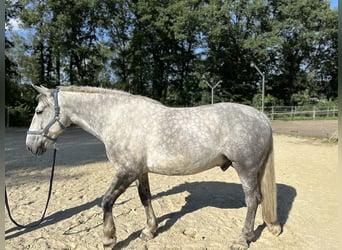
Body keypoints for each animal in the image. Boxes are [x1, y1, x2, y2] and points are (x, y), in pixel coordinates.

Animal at [26, 85, 280, 249]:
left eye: (38, 111)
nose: (30, 146)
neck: (117, 118)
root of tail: (260, 117)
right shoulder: (140, 172)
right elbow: (145, 198)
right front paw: (149, 231)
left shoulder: (126, 171)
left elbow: (106, 201)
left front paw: (109, 238)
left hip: (245, 168)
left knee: (252, 200)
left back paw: (243, 239)